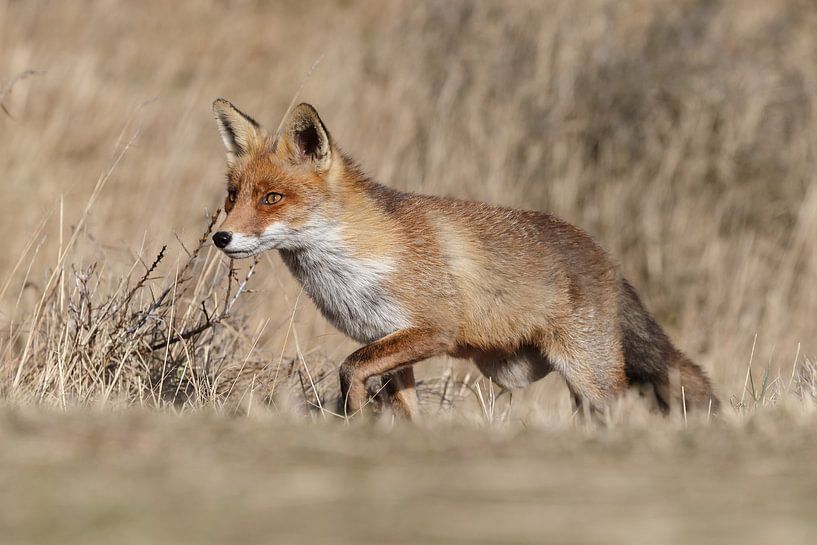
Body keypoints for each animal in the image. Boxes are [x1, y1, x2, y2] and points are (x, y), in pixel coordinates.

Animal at [212, 98, 720, 418]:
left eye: (272, 199)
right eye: (233, 196)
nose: (220, 237)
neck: (354, 263)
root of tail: (605, 255)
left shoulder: (433, 330)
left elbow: (349, 368)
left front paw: (352, 416)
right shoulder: (389, 342)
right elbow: (404, 410)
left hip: (590, 375)